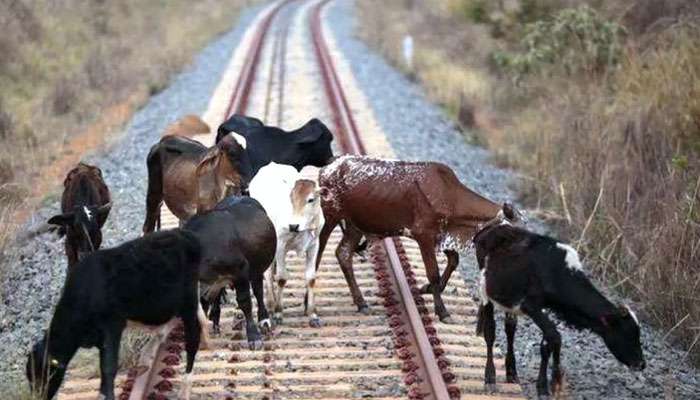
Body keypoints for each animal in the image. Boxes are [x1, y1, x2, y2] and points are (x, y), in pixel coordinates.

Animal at [27, 228, 208, 400]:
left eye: (41, 376)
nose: (38, 396)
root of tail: (184, 233)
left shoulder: (112, 326)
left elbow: (108, 368)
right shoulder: (100, 337)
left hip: (188, 301)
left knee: (192, 339)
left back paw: (184, 389)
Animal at [183, 197, 276, 350]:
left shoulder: (241, 271)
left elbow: (245, 302)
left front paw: (254, 337)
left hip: (257, 269)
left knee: (258, 292)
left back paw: (264, 320)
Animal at [249, 163, 326, 328]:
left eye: (311, 199)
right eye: (291, 198)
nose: (293, 225)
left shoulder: (314, 245)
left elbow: (311, 278)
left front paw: (313, 315)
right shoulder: (280, 245)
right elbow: (282, 278)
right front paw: (279, 312)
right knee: (267, 273)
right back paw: (271, 305)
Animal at [318, 155, 520, 324]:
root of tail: (332, 164)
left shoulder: (441, 235)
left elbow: (453, 261)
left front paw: (427, 289)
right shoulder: (424, 235)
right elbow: (433, 273)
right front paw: (442, 311)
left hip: (355, 226)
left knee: (343, 253)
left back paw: (361, 302)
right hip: (331, 216)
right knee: (320, 248)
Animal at [470, 223, 644, 398]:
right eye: (627, 334)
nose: (641, 363)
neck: (556, 271)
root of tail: (493, 227)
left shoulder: (540, 307)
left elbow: (547, 342)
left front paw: (546, 385)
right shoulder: (530, 305)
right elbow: (555, 336)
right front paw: (554, 382)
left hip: (509, 299)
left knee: (510, 330)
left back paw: (511, 373)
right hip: (485, 290)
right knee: (490, 331)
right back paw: (490, 378)